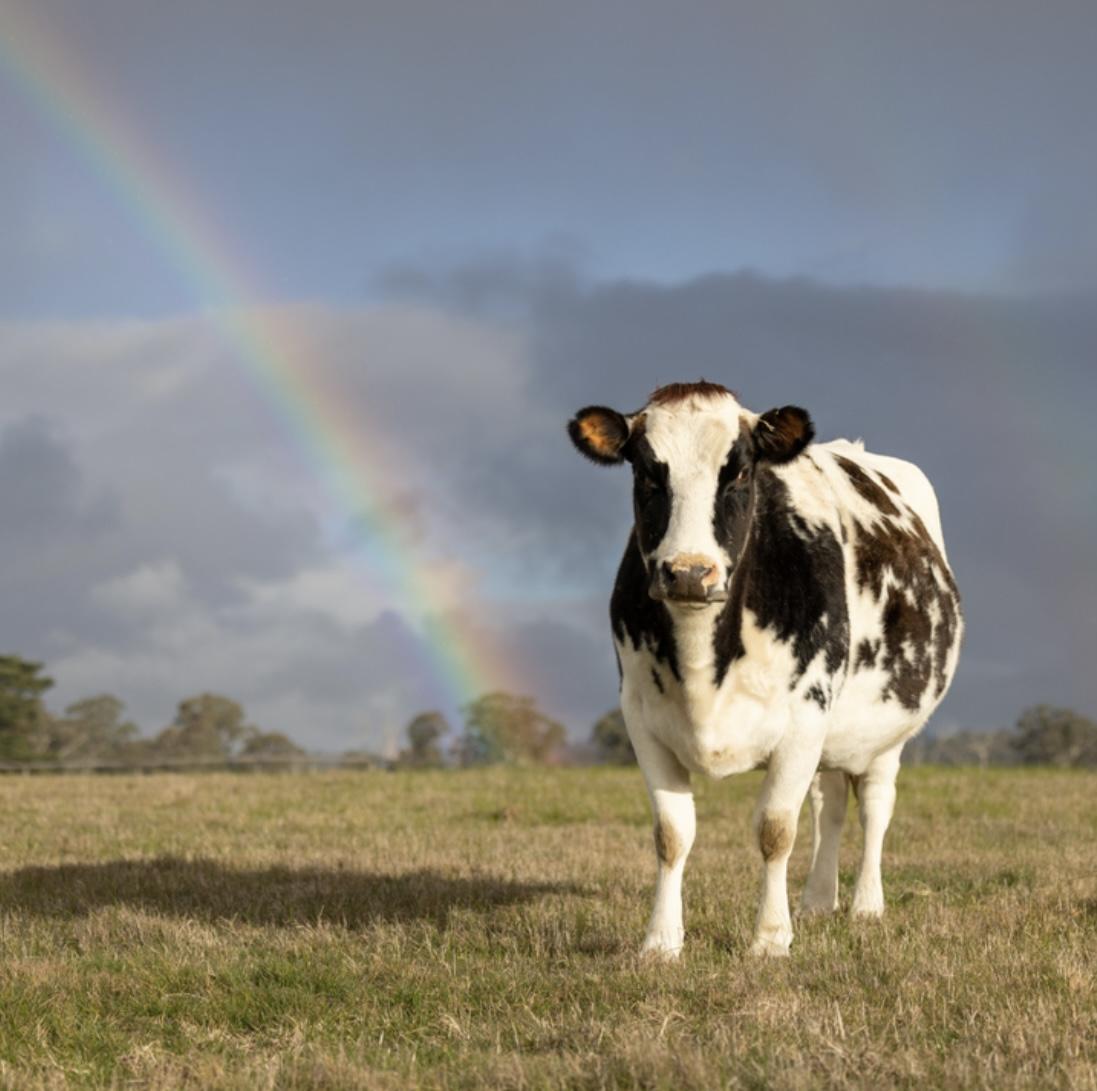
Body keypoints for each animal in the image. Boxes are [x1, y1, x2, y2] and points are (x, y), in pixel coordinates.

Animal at [568, 381, 962, 958]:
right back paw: (818, 900)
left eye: (739, 472)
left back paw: (866, 905)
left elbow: (776, 830)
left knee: (874, 806)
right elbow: (671, 834)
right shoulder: (641, 717)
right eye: (646, 473)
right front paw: (661, 942)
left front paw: (771, 938)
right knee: (830, 805)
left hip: (890, 730)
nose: (690, 573)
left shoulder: (804, 718)